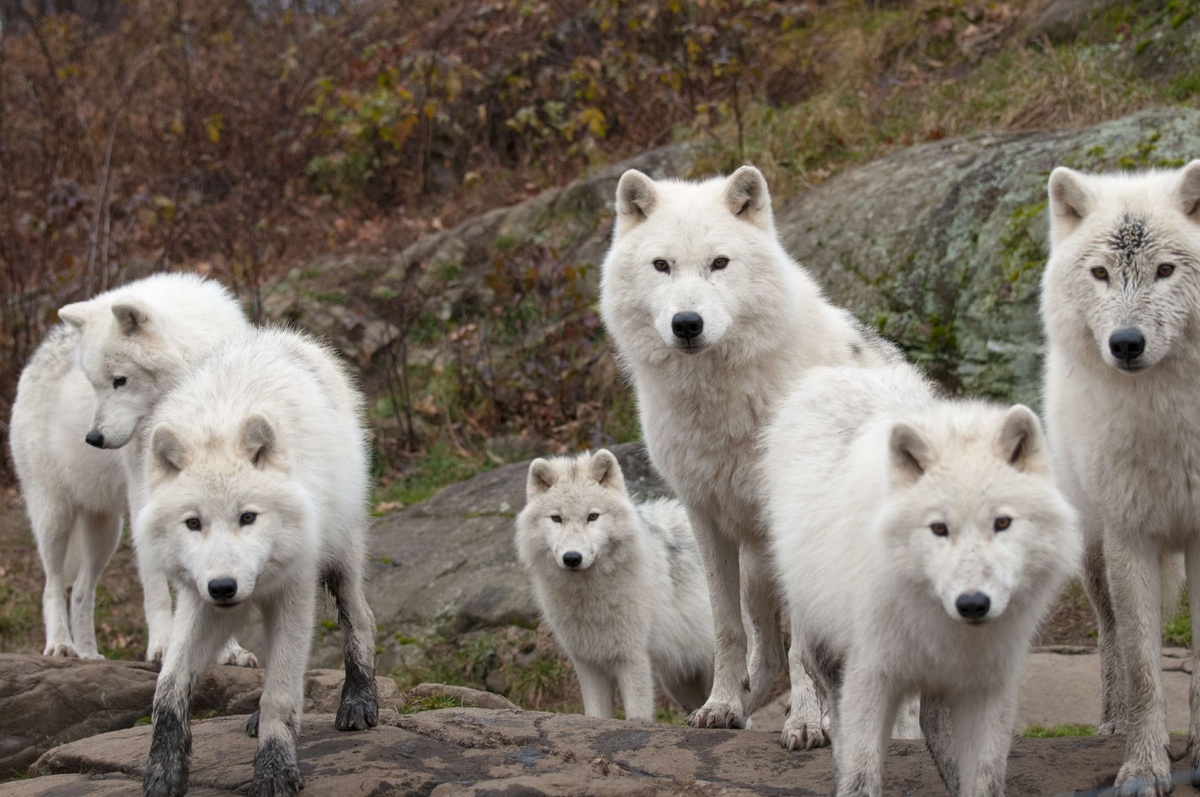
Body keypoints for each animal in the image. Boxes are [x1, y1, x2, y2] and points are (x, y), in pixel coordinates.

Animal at [134, 326, 374, 797]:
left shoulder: (295, 590)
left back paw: (359, 700)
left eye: (248, 517)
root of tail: (287, 336)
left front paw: (274, 770)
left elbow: (280, 693)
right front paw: (164, 771)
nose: (224, 587)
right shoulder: (197, 598)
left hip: (340, 562)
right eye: (193, 523)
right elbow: (167, 688)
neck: (217, 423)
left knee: (361, 619)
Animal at [513, 448, 710, 720]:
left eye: (592, 517)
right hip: (680, 682)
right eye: (556, 518)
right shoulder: (587, 663)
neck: (589, 598)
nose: (572, 558)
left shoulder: (632, 658)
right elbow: (596, 715)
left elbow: (638, 715)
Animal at [763, 362, 1084, 797]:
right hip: (824, 645)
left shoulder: (988, 684)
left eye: (1002, 523)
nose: (973, 603)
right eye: (938, 529)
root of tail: (848, 372)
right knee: (840, 719)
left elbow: (985, 776)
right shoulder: (872, 673)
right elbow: (861, 773)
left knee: (931, 718)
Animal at [1036, 162, 1200, 797]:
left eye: (1165, 270)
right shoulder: (1132, 536)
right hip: (1095, 551)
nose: (1126, 343)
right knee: (1111, 639)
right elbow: (1146, 668)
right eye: (1101, 274)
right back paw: (1113, 725)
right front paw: (1144, 767)